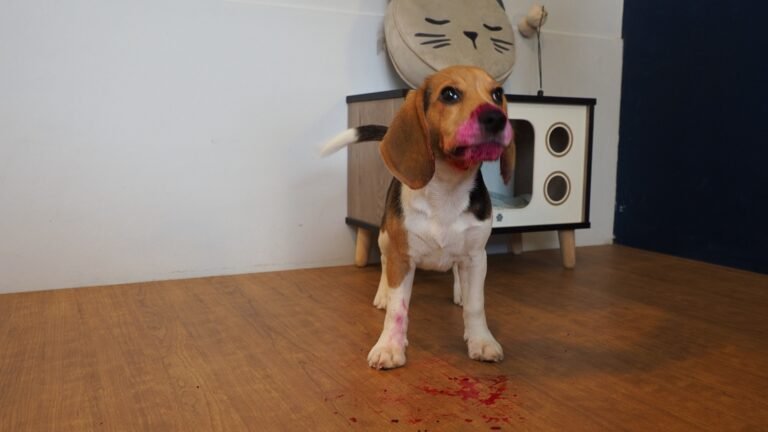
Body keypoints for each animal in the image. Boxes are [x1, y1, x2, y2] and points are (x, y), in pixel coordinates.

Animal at [320, 66, 512, 370]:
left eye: (497, 94)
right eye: (449, 94)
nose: (496, 117)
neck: (447, 188)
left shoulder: (476, 256)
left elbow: (475, 305)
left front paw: (481, 341)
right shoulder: (402, 256)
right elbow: (398, 310)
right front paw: (390, 347)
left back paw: (458, 291)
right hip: (385, 237)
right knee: (383, 262)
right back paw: (383, 294)